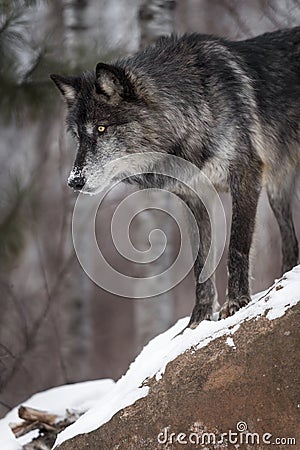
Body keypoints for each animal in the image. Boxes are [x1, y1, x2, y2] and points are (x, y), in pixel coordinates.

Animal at [50, 26, 298, 326]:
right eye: (77, 136)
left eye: (101, 128)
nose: (74, 181)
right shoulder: (194, 196)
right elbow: (200, 263)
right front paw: (199, 320)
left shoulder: (245, 174)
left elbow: (237, 246)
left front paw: (236, 302)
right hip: (277, 187)